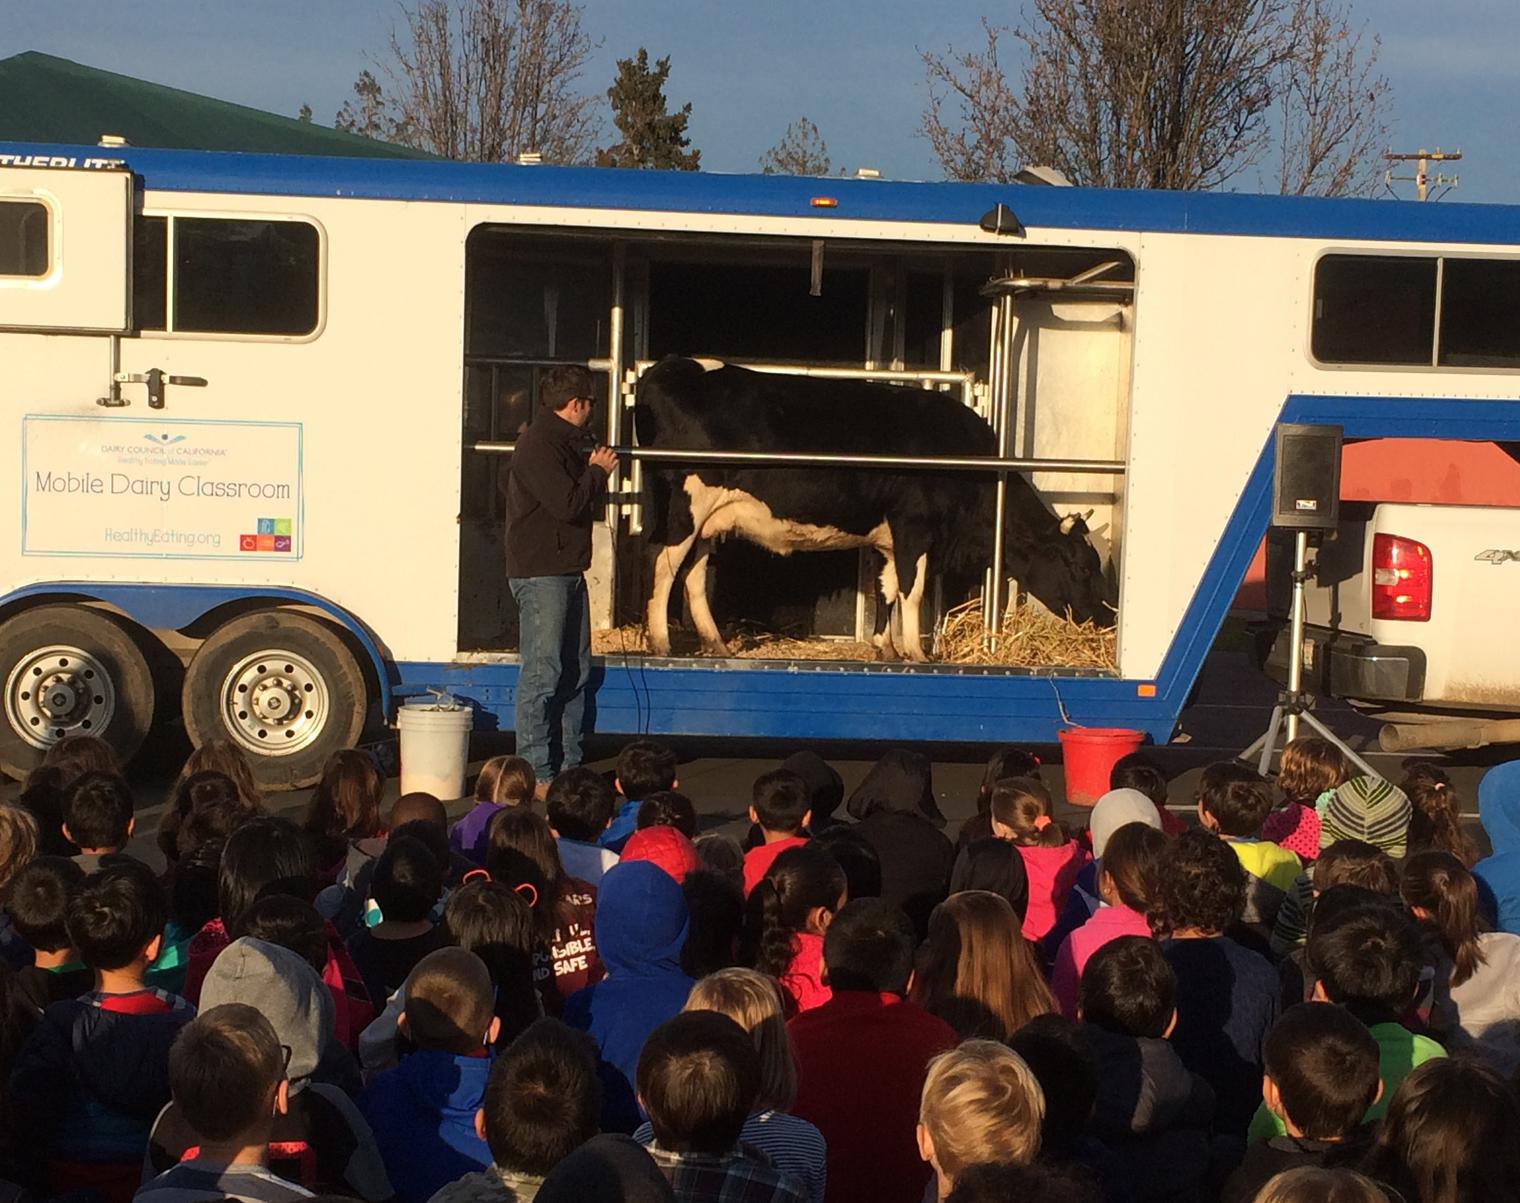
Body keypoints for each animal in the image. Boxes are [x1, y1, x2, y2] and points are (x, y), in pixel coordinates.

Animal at [629, 357, 1118, 663]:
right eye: (1081, 566)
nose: (1106, 618)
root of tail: (668, 368)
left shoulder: (889, 536)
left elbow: (887, 589)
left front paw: (887, 647)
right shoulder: (914, 526)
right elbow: (912, 590)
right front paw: (917, 652)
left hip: (709, 518)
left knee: (693, 573)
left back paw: (716, 644)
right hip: (685, 503)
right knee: (661, 560)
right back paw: (661, 642)